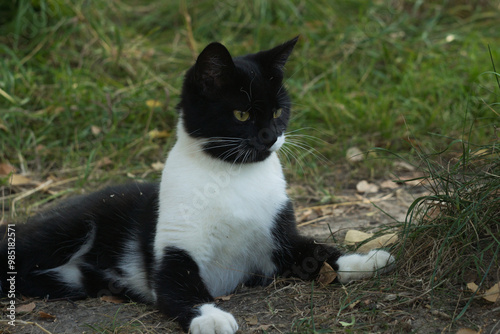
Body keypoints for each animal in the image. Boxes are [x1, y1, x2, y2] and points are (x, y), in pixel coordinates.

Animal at [1, 37, 396, 332]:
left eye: (278, 111)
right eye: (241, 113)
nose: (270, 137)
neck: (232, 176)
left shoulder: (280, 240)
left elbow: (319, 252)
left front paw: (368, 260)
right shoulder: (175, 250)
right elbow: (180, 288)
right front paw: (212, 317)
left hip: (75, 279)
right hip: (66, 228)